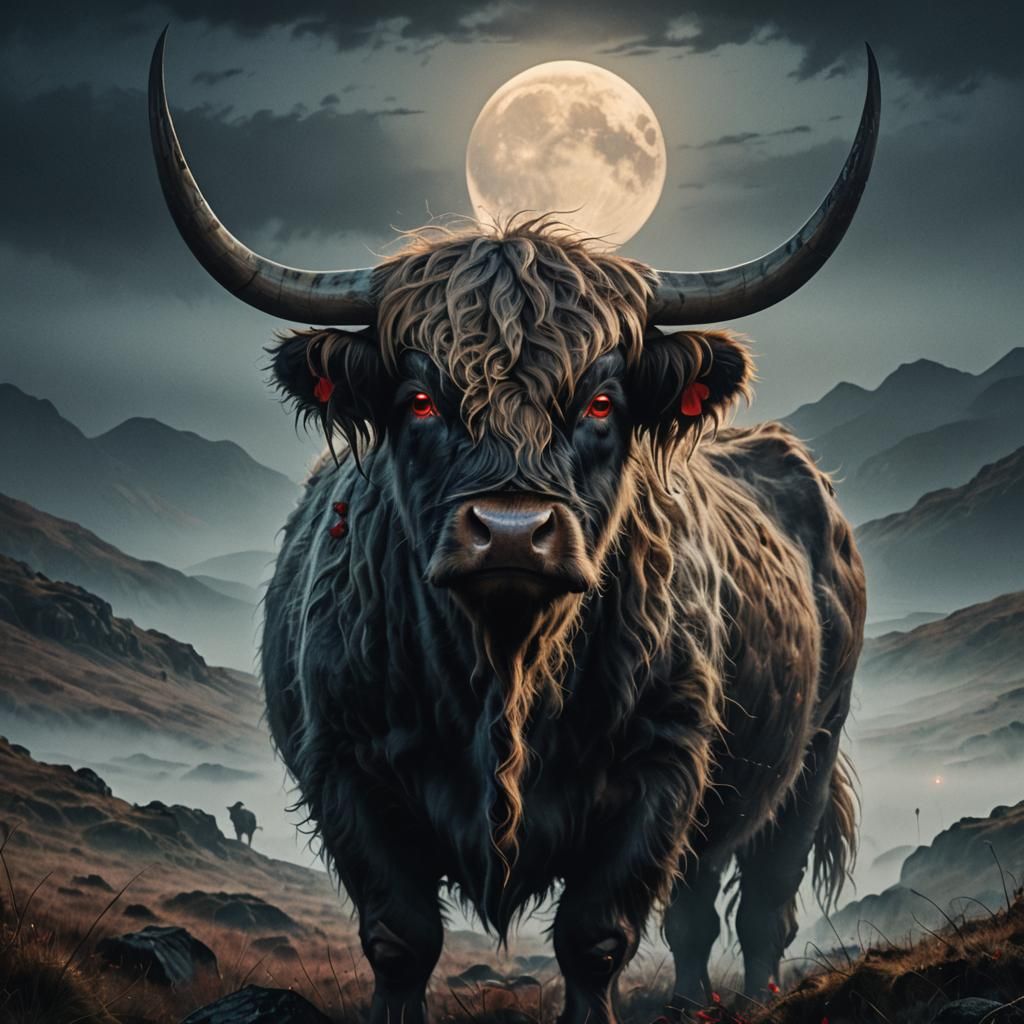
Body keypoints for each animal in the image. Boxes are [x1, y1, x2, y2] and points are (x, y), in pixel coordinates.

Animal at [149, 31, 877, 1024]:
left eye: (602, 401)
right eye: (420, 399)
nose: (508, 531)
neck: (505, 668)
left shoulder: (659, 767)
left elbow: (595, 937)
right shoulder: (346, 769)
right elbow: (401, 937)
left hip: (807, 759)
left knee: (762, 905)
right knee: (696, 908)